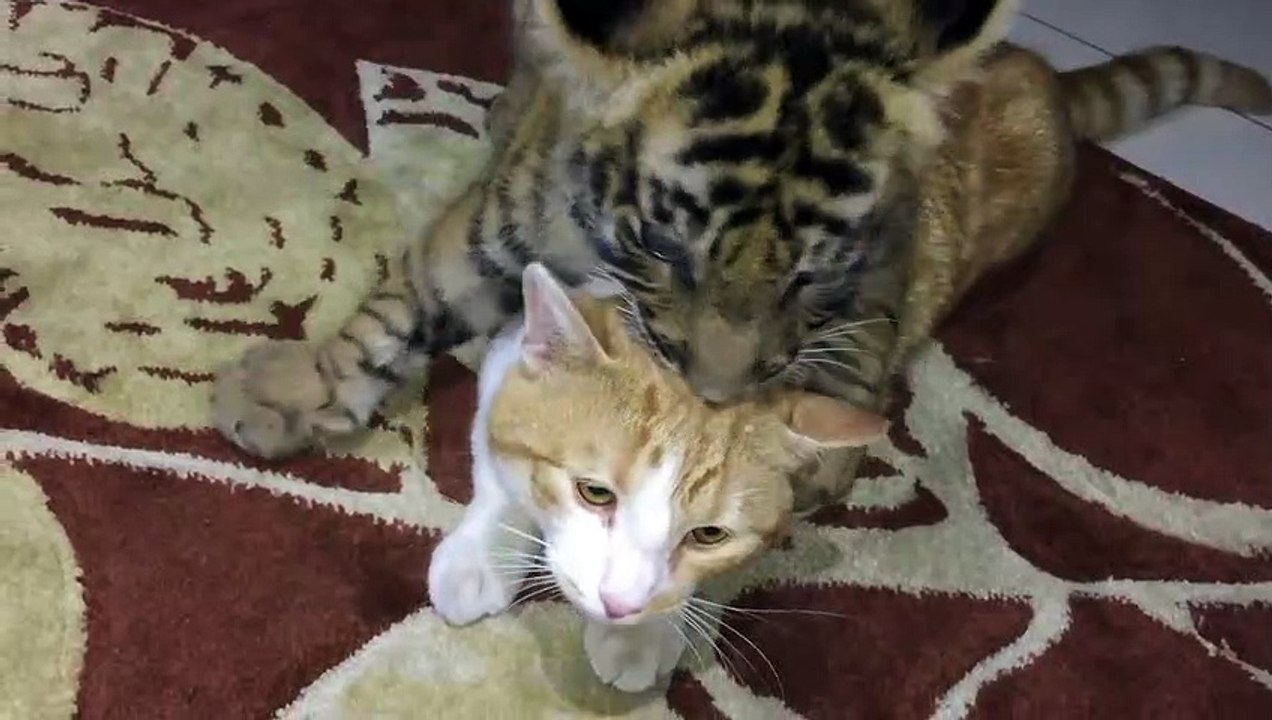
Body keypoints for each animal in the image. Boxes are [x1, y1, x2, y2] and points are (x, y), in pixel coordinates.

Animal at [212, 0, 1272, 510]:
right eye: (666, 247)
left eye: (812, 271)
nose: (716, 391)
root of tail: (1042, 72)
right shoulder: (499, 224)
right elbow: (399, 306)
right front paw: (288, 397)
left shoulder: (867, 305)